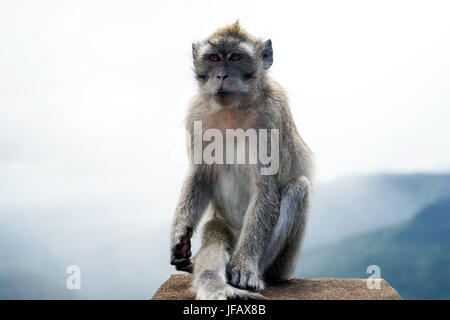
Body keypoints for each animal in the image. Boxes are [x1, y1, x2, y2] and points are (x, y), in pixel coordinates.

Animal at [169, 22, 312, 300]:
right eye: (214, 58)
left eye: (236, 57)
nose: (221, 76)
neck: (231, 111)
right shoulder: (196, 115)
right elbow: (200, 176)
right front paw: (179, 236)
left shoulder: (272, 115)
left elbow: (265, 187)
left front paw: (244, 268)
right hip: (223, 224)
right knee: (215, 238)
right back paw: (213, 283)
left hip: (278, 264)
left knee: (298, 189)